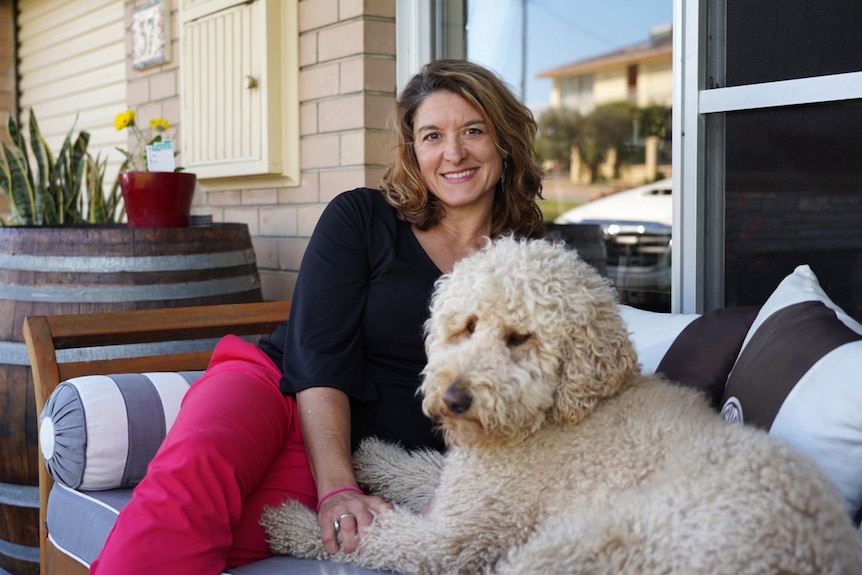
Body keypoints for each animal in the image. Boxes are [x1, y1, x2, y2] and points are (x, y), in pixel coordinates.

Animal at [264, 236, 862, 572]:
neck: (553, 416)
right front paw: (370, 456)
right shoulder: (467, 484)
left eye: (519, 338)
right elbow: (419, 468)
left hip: (578, 546)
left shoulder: (455, 537)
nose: (453, 399)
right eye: (467, 326)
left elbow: (373, 538)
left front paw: (289, 522)